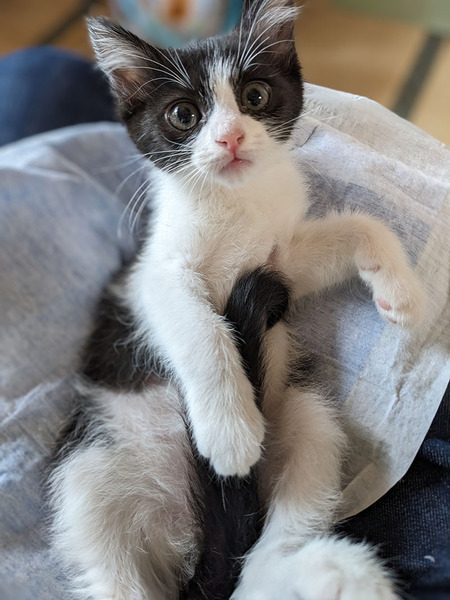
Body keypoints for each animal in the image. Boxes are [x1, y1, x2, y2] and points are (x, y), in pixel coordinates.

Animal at [48, 1, 426, 599]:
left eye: (254, 96)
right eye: (183, 115)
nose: (229, 138)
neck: (234, 203)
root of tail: (184, 540)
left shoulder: (279, 263)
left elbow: (359, 227)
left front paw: (403, 294)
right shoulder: (150, 276)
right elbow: (200, 328)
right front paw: (230, 437)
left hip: (309, 417)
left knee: (260, 563)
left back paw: (335, 573)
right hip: (87, 467)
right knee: (114, 571)